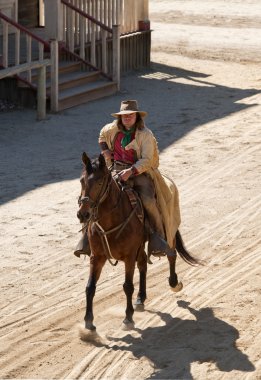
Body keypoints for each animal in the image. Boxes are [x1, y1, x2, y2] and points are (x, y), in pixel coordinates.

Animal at [76, 153, 198, 332]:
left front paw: (128, 318)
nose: (83, 214)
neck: (111, 220)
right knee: (143, 264)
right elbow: (90, 286)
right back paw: (141, 298)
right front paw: (88, 322)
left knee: (171, 254)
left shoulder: (129, 256)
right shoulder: (96, 256)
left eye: (99, 182)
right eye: (81, 181)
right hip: (140, 248)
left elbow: (127, 286)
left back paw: (174, 283)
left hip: (169, 231)